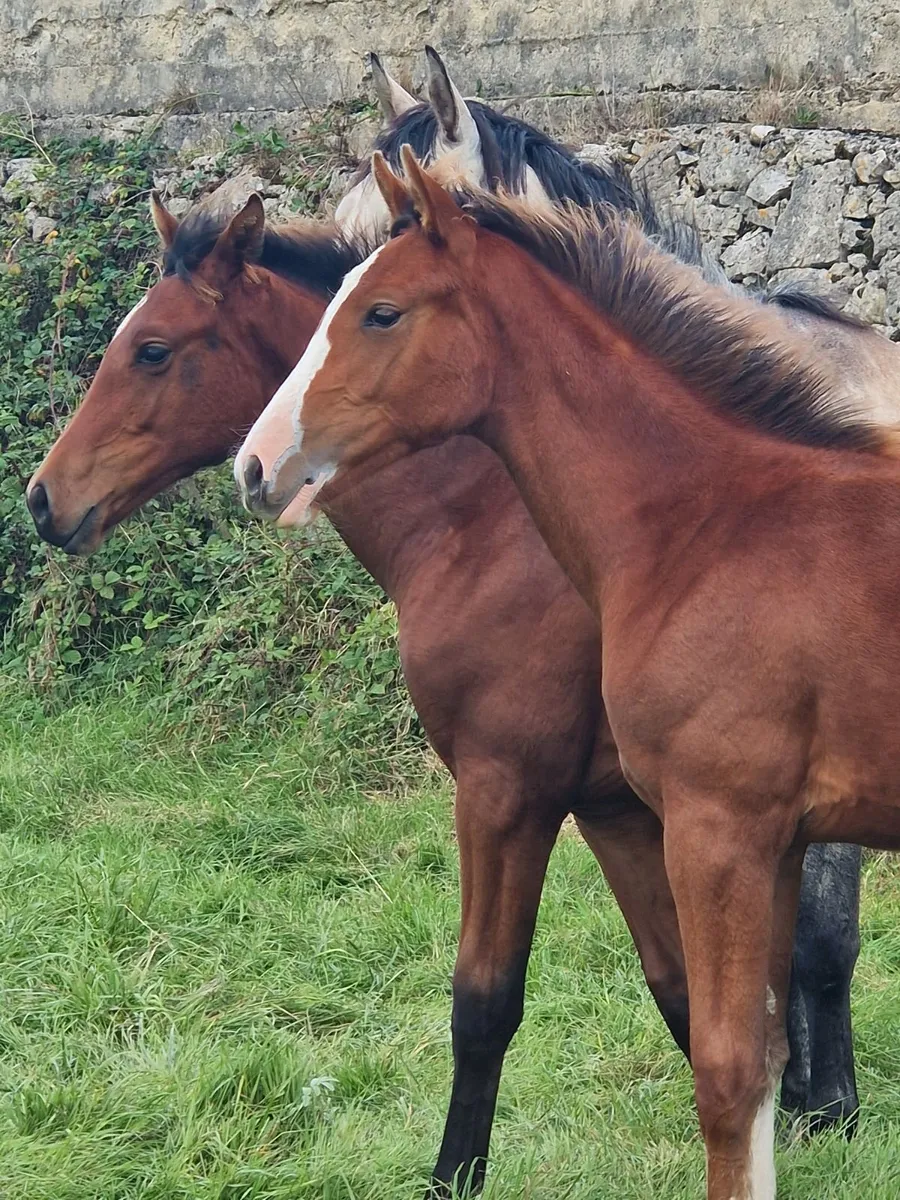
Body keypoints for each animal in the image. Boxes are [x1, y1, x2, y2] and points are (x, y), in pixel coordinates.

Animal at [27, 183, 867, 1194]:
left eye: (153, 350)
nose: (45, 499)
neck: (480, 519)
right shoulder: (613, 808)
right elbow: (681, 995)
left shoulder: (506, 788)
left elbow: (484, 1003)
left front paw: (454, 1174)